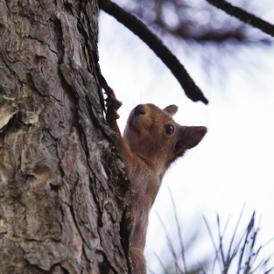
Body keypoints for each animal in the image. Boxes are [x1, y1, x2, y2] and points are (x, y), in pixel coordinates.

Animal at [105, 89, 206, 274]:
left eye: (169, 129)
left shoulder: (143, 178)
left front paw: (112, 115)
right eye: (152, 104)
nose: (140, 108)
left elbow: (125, 160)